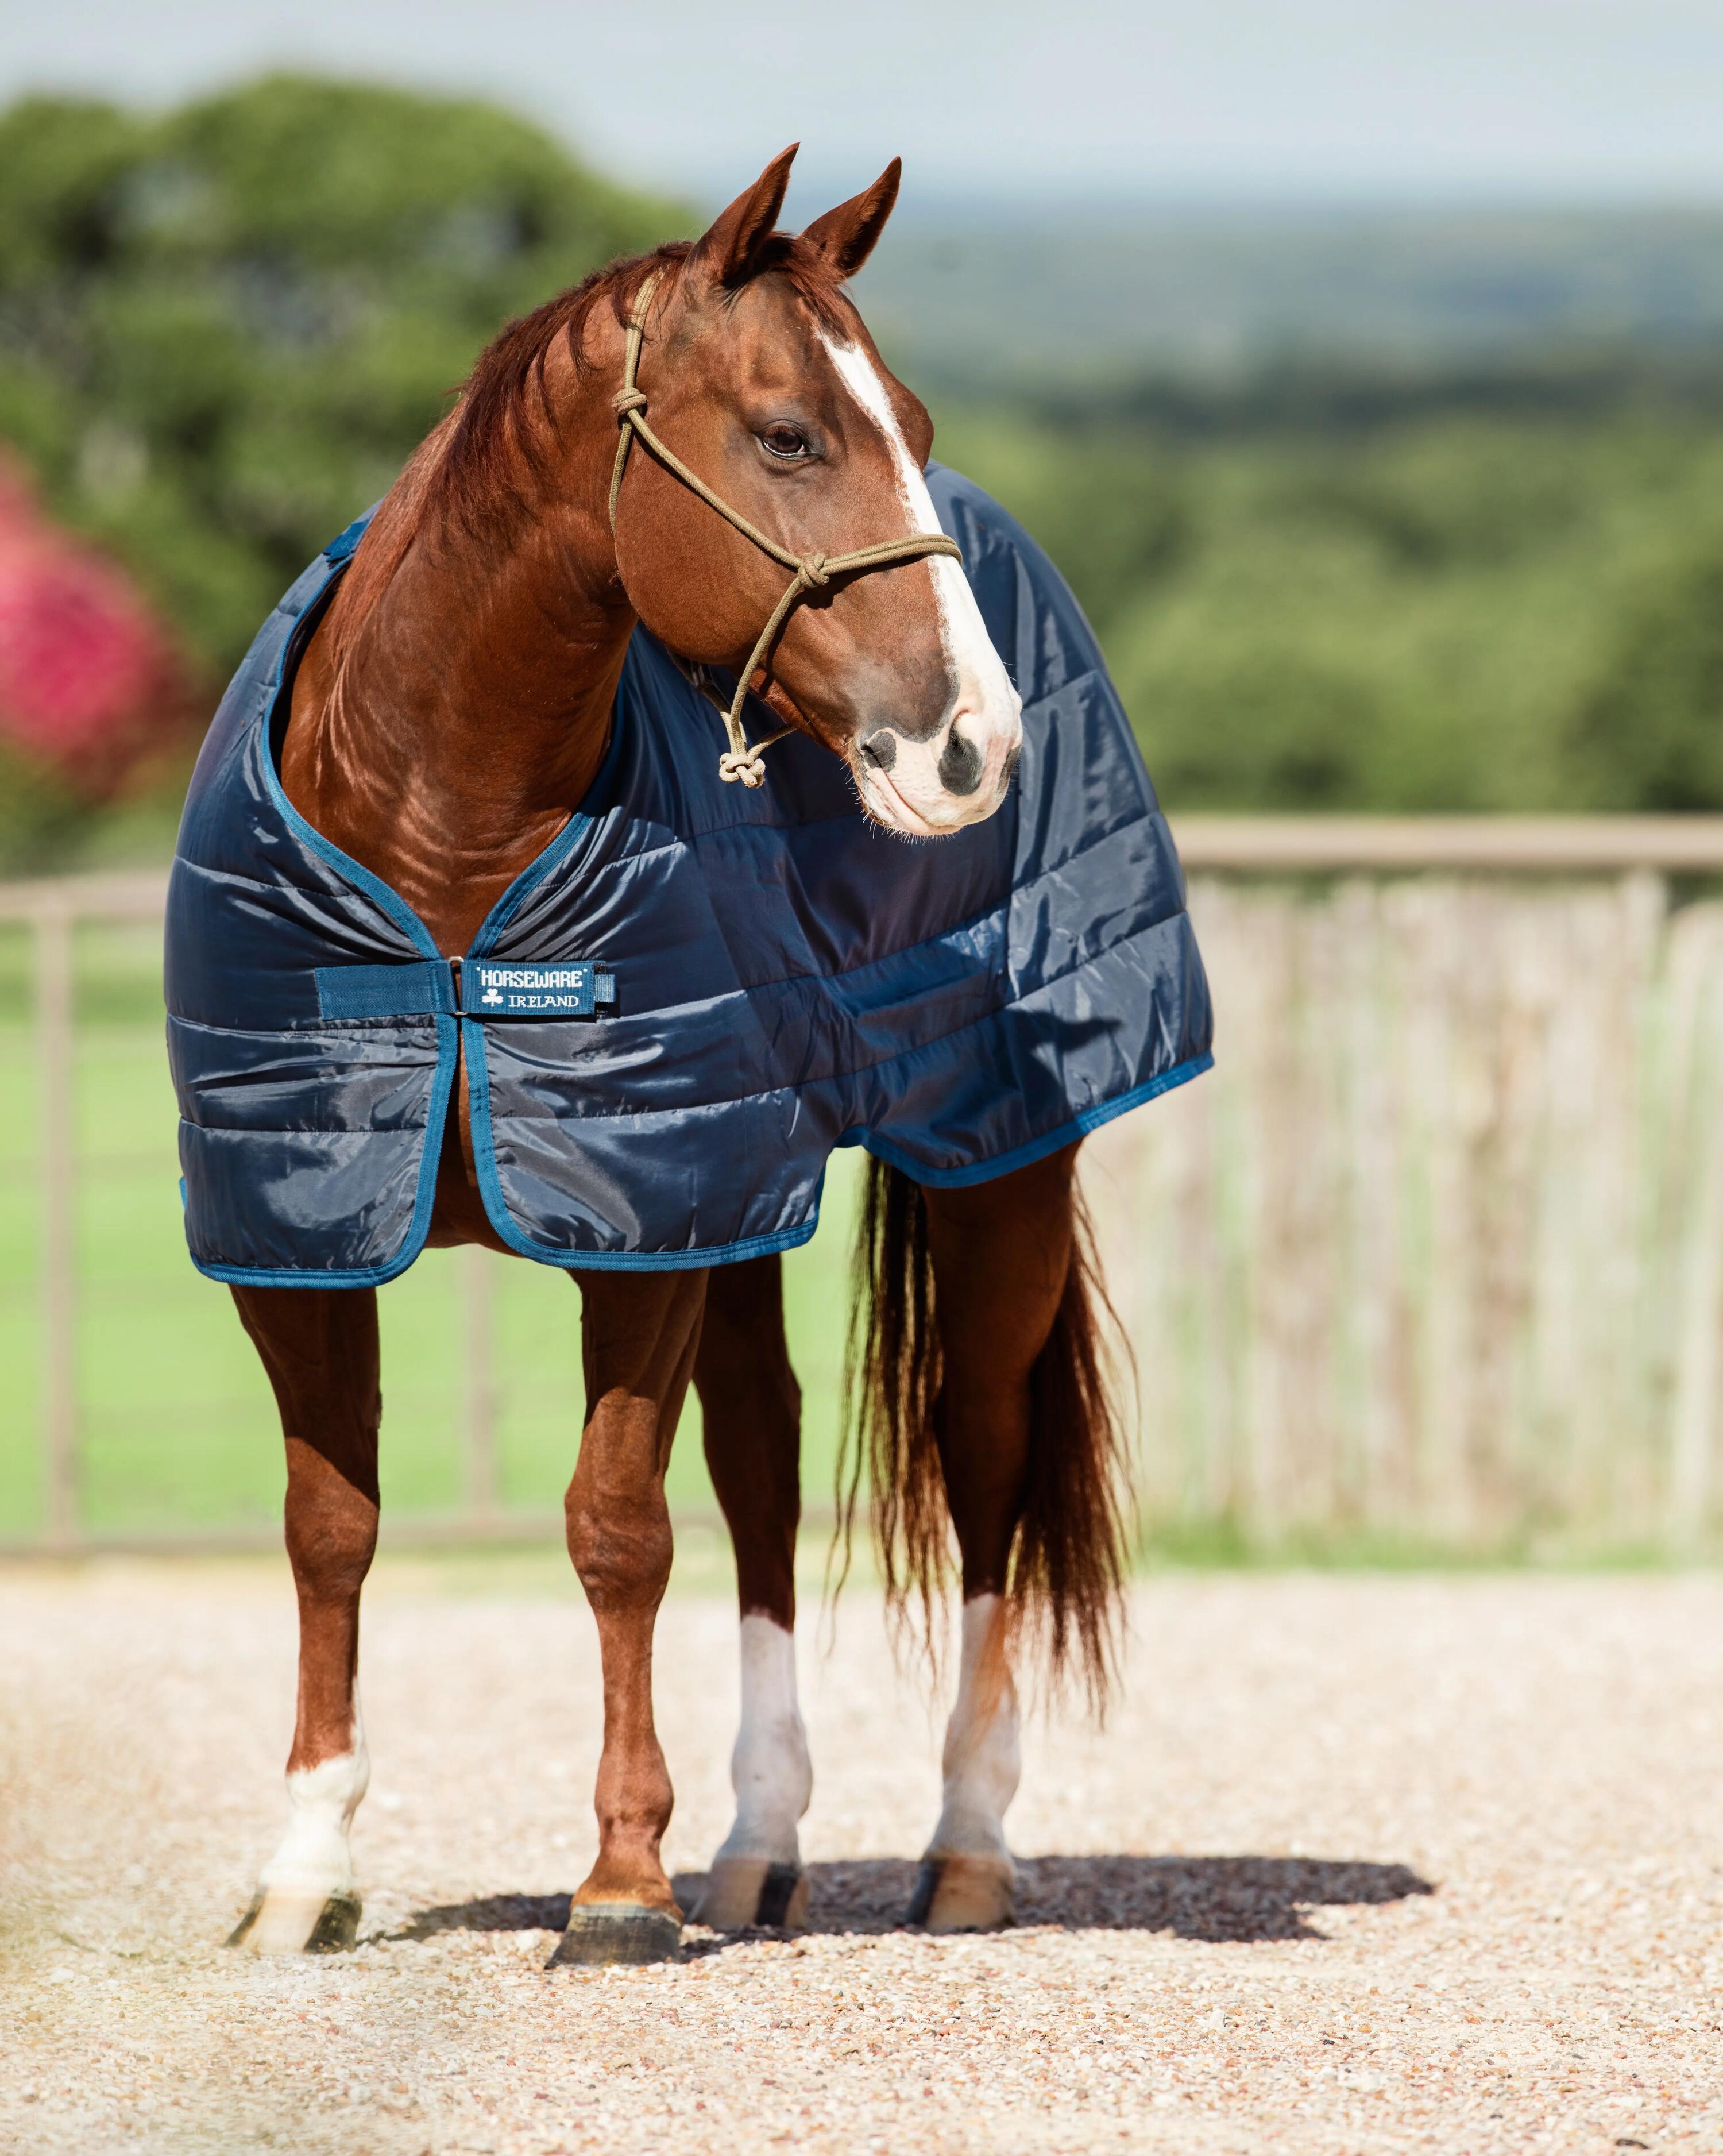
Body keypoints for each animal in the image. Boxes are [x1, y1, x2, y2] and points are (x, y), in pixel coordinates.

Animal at [208, 146, 1056, 1967]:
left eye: (915, 423)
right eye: (791, 435)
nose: (977, 742)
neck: (445, 847)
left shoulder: (643, 1230)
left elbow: (613, 1530)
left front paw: (613, 1882)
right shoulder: (300, 1234)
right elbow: (330, 1530)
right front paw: (306, 1864)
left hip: (1000, 1172)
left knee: (986, 1462)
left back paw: (962, 1845)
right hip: (744, 1200)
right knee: (764, 1461)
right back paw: (759, 1847)